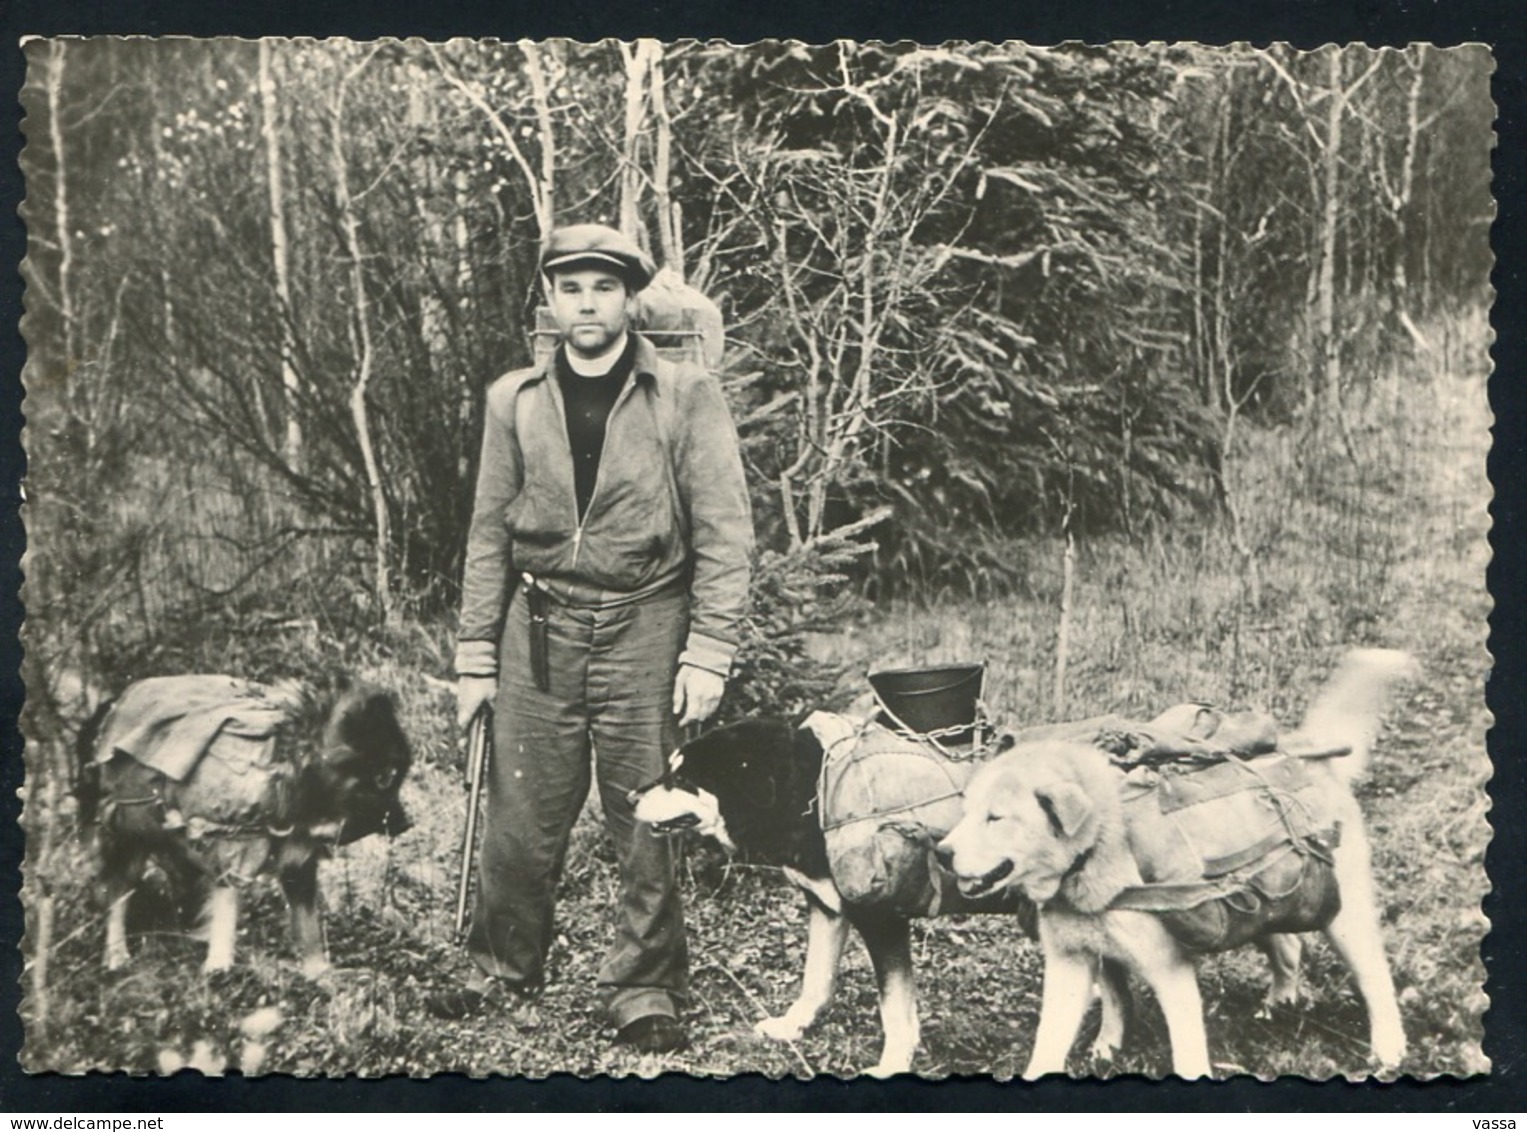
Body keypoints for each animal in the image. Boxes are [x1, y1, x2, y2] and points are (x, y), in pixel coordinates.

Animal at [77, 675, 412, 977]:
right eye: (384, 777)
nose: (407, 823)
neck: (292, 764)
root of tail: (108, 709)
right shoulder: (230, 845)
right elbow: (226, 906)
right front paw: (219, 965)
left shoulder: (297, 858)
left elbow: (308, 924)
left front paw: (319, 973)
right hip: (128, 833)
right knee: (117, 894)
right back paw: (117, 955)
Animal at [934, 647, 1410, 1075]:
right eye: (968, 811)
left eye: (996, 818)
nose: (941, 853)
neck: (1096, 851)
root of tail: (1307, 751)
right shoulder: (1070, 965)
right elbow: (1048, 1045)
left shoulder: (1170, 972)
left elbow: (1187, 1052)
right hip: (1264, 899)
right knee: (1288, 945)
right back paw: (1279, 1001)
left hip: (1345, 919)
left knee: (1376, 981)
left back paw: (1389, 1050)